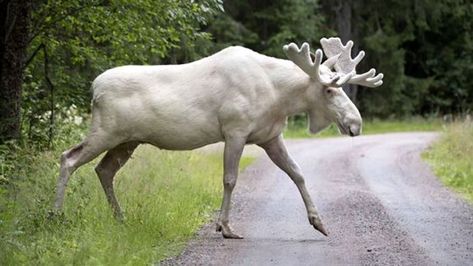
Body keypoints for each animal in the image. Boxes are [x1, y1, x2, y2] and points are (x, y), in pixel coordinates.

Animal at [54, 36, 380, 238]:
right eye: (329, 89)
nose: (356, 123)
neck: (279, 97)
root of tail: (94, 88)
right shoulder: (235, 130)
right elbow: (230, 179)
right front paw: (225, 227)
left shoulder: (270, 136)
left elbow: (298, 173)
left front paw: (319, 222)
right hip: (106, 131)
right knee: (68, 157)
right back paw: (55, 215)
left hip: (127, 140)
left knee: (104, 169)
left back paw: (119, 218)